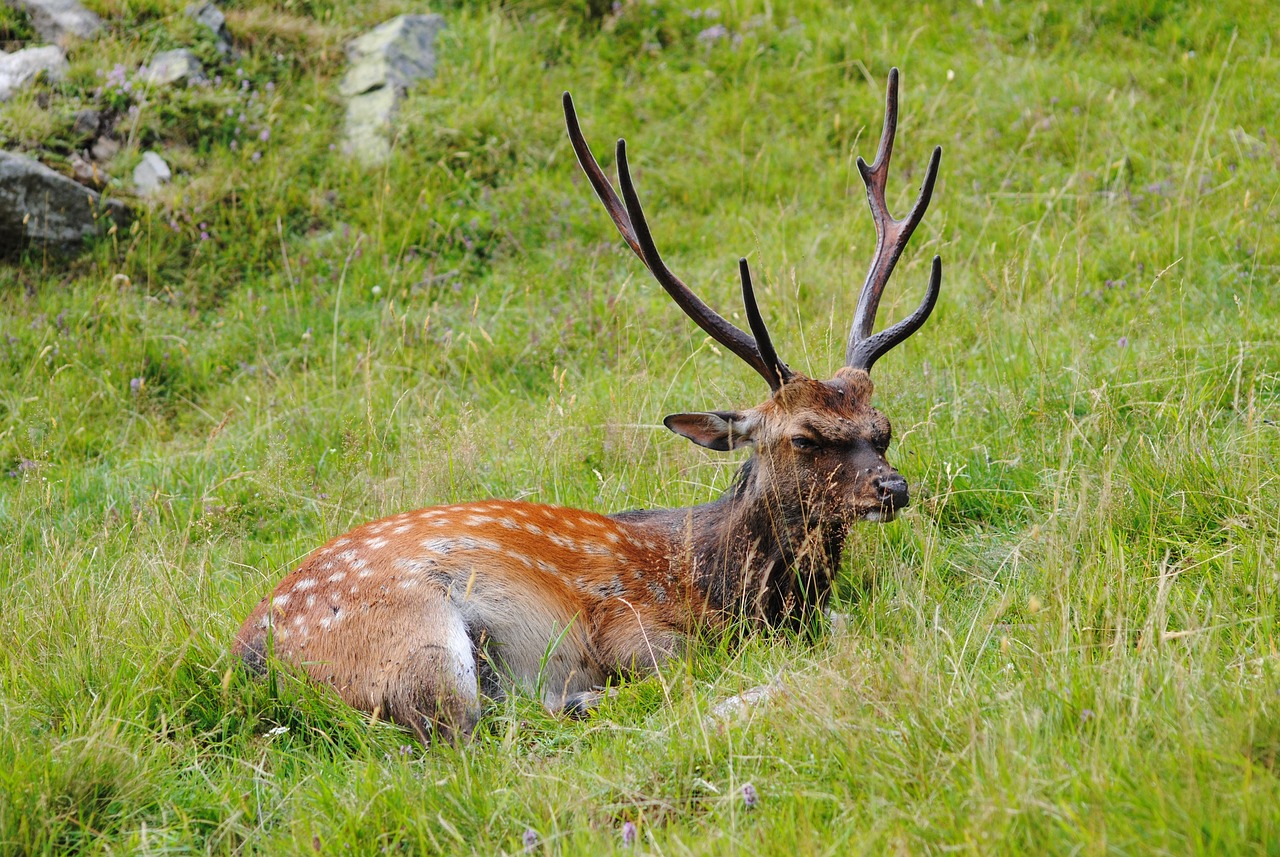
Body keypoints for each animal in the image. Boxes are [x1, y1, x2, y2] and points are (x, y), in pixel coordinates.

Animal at [235, 68, 947, 746]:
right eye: (803, 437)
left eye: (882, 428)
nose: (893, 487)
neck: (727, 589)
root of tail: (248, 659)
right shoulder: (626, 622)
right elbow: (688, 665)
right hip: (417, 636)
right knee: (472, 731)